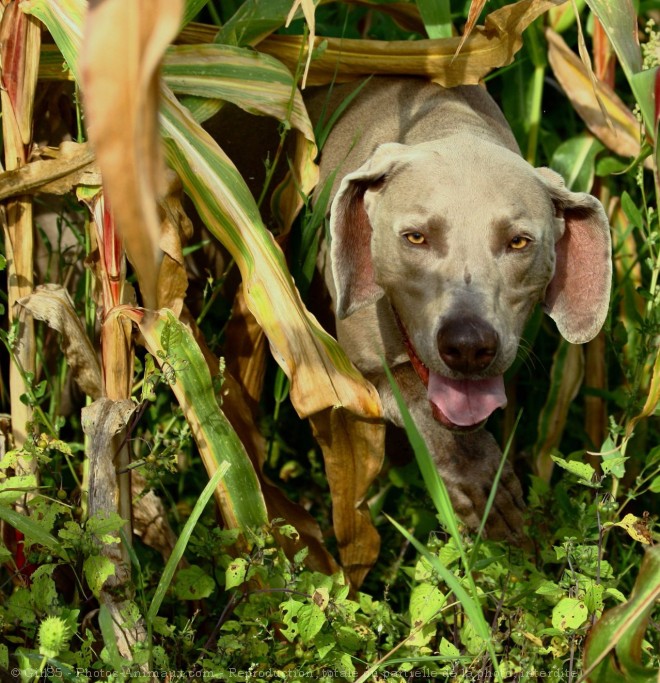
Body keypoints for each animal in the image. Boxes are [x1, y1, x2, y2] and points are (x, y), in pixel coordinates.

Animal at [312, 77, 612, 540]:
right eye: (415, 237)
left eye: (519, 242)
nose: (469, 345)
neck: (447, 121)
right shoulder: (359, 366)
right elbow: (415, 396)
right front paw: (482, 486)